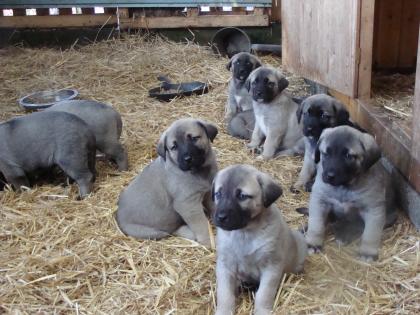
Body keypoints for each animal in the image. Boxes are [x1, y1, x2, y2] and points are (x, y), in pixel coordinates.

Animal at [116, 118, 218, 247]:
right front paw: (209, 242)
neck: (199, 171)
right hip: (153, 232)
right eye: (174, 147)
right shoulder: (188, 204)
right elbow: (201, 225)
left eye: (194, 138)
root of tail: (118, 217)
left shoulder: (209, 192)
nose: (187, 159)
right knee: (170, 231)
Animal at [213, 165, 308, 315]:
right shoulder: (225, 265)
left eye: (242, 196)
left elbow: (264, 294)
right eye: (218, 194)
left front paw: (262, 310)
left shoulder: (271, 266)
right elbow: (225, 294)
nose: (220, 217)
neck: (244, 233)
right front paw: (224, 311)